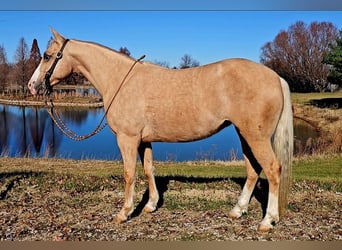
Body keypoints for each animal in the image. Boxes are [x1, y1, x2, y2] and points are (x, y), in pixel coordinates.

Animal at [28, 29, 292, 232]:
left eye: (47, 56)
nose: (32, 86)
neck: (121, 80)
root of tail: (276, 77)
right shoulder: (143, 141)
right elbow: (148, 169)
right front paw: (150, 205)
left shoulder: (127, 139)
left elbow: (129, 173)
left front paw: (124, 213)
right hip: (245, 134)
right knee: (253, 169)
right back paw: (238, 210)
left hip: (256, 137)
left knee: (272, 169)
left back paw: (267, 220)